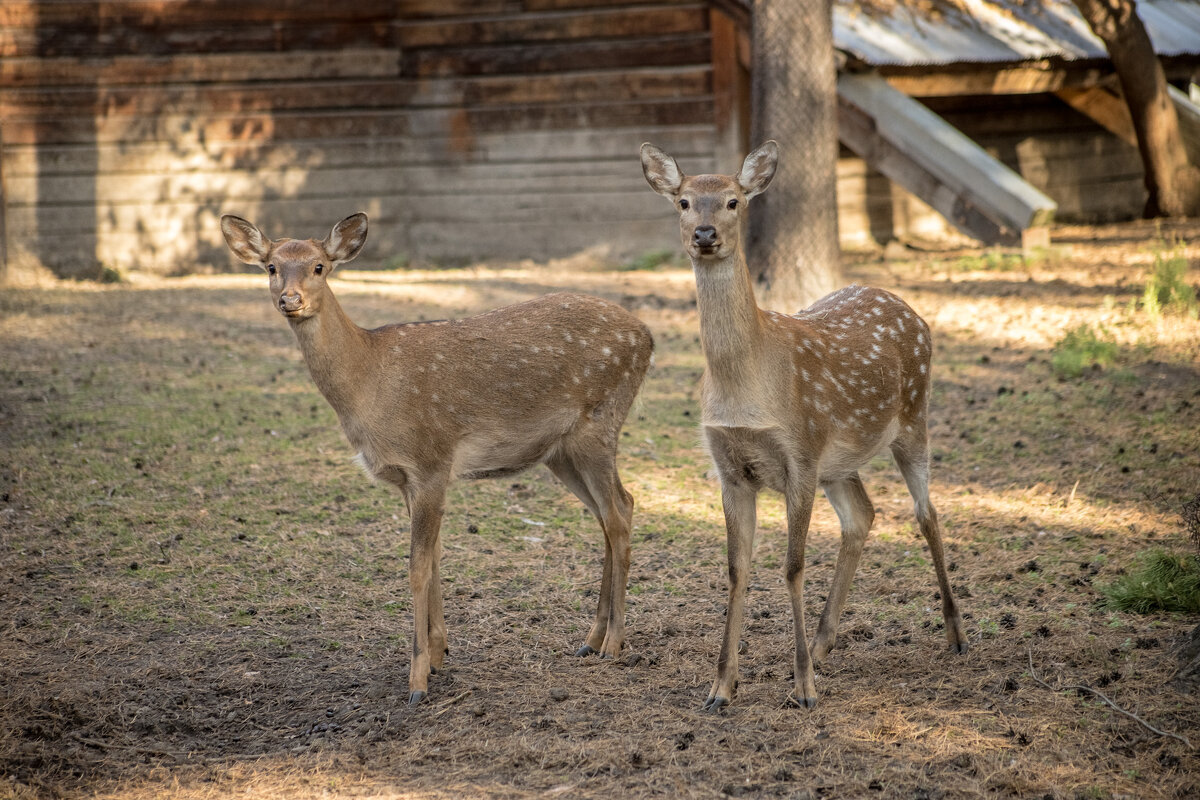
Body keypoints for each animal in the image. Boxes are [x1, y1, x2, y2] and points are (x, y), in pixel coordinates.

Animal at [225, 214, 657, 705]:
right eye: (272, 267)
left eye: (319, 266)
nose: (290, 300)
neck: (369, 385)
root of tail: (647, 337)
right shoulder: (407, 479)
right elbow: (432, 558)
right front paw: (438, 654)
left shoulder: (431, 460)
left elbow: (417, 566)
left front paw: (417, 680)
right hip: (561, 451)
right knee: (609, 512)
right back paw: (590, 638)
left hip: (600, 426)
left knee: (620, 510)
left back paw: (613, 643)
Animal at [643, 140, 969, 710]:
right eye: (683, 202)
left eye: (732, 201)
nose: (704, 235)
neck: (745, 387)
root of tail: (908, 307)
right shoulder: (731, 469)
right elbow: (737, 568)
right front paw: (722, 686)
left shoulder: (800, 454)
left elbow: (793, 567)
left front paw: (803, 688)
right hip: (838, 461)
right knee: (862, 515)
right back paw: (822, 642)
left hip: (912, 418)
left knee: (927, 514)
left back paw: (954, 634)